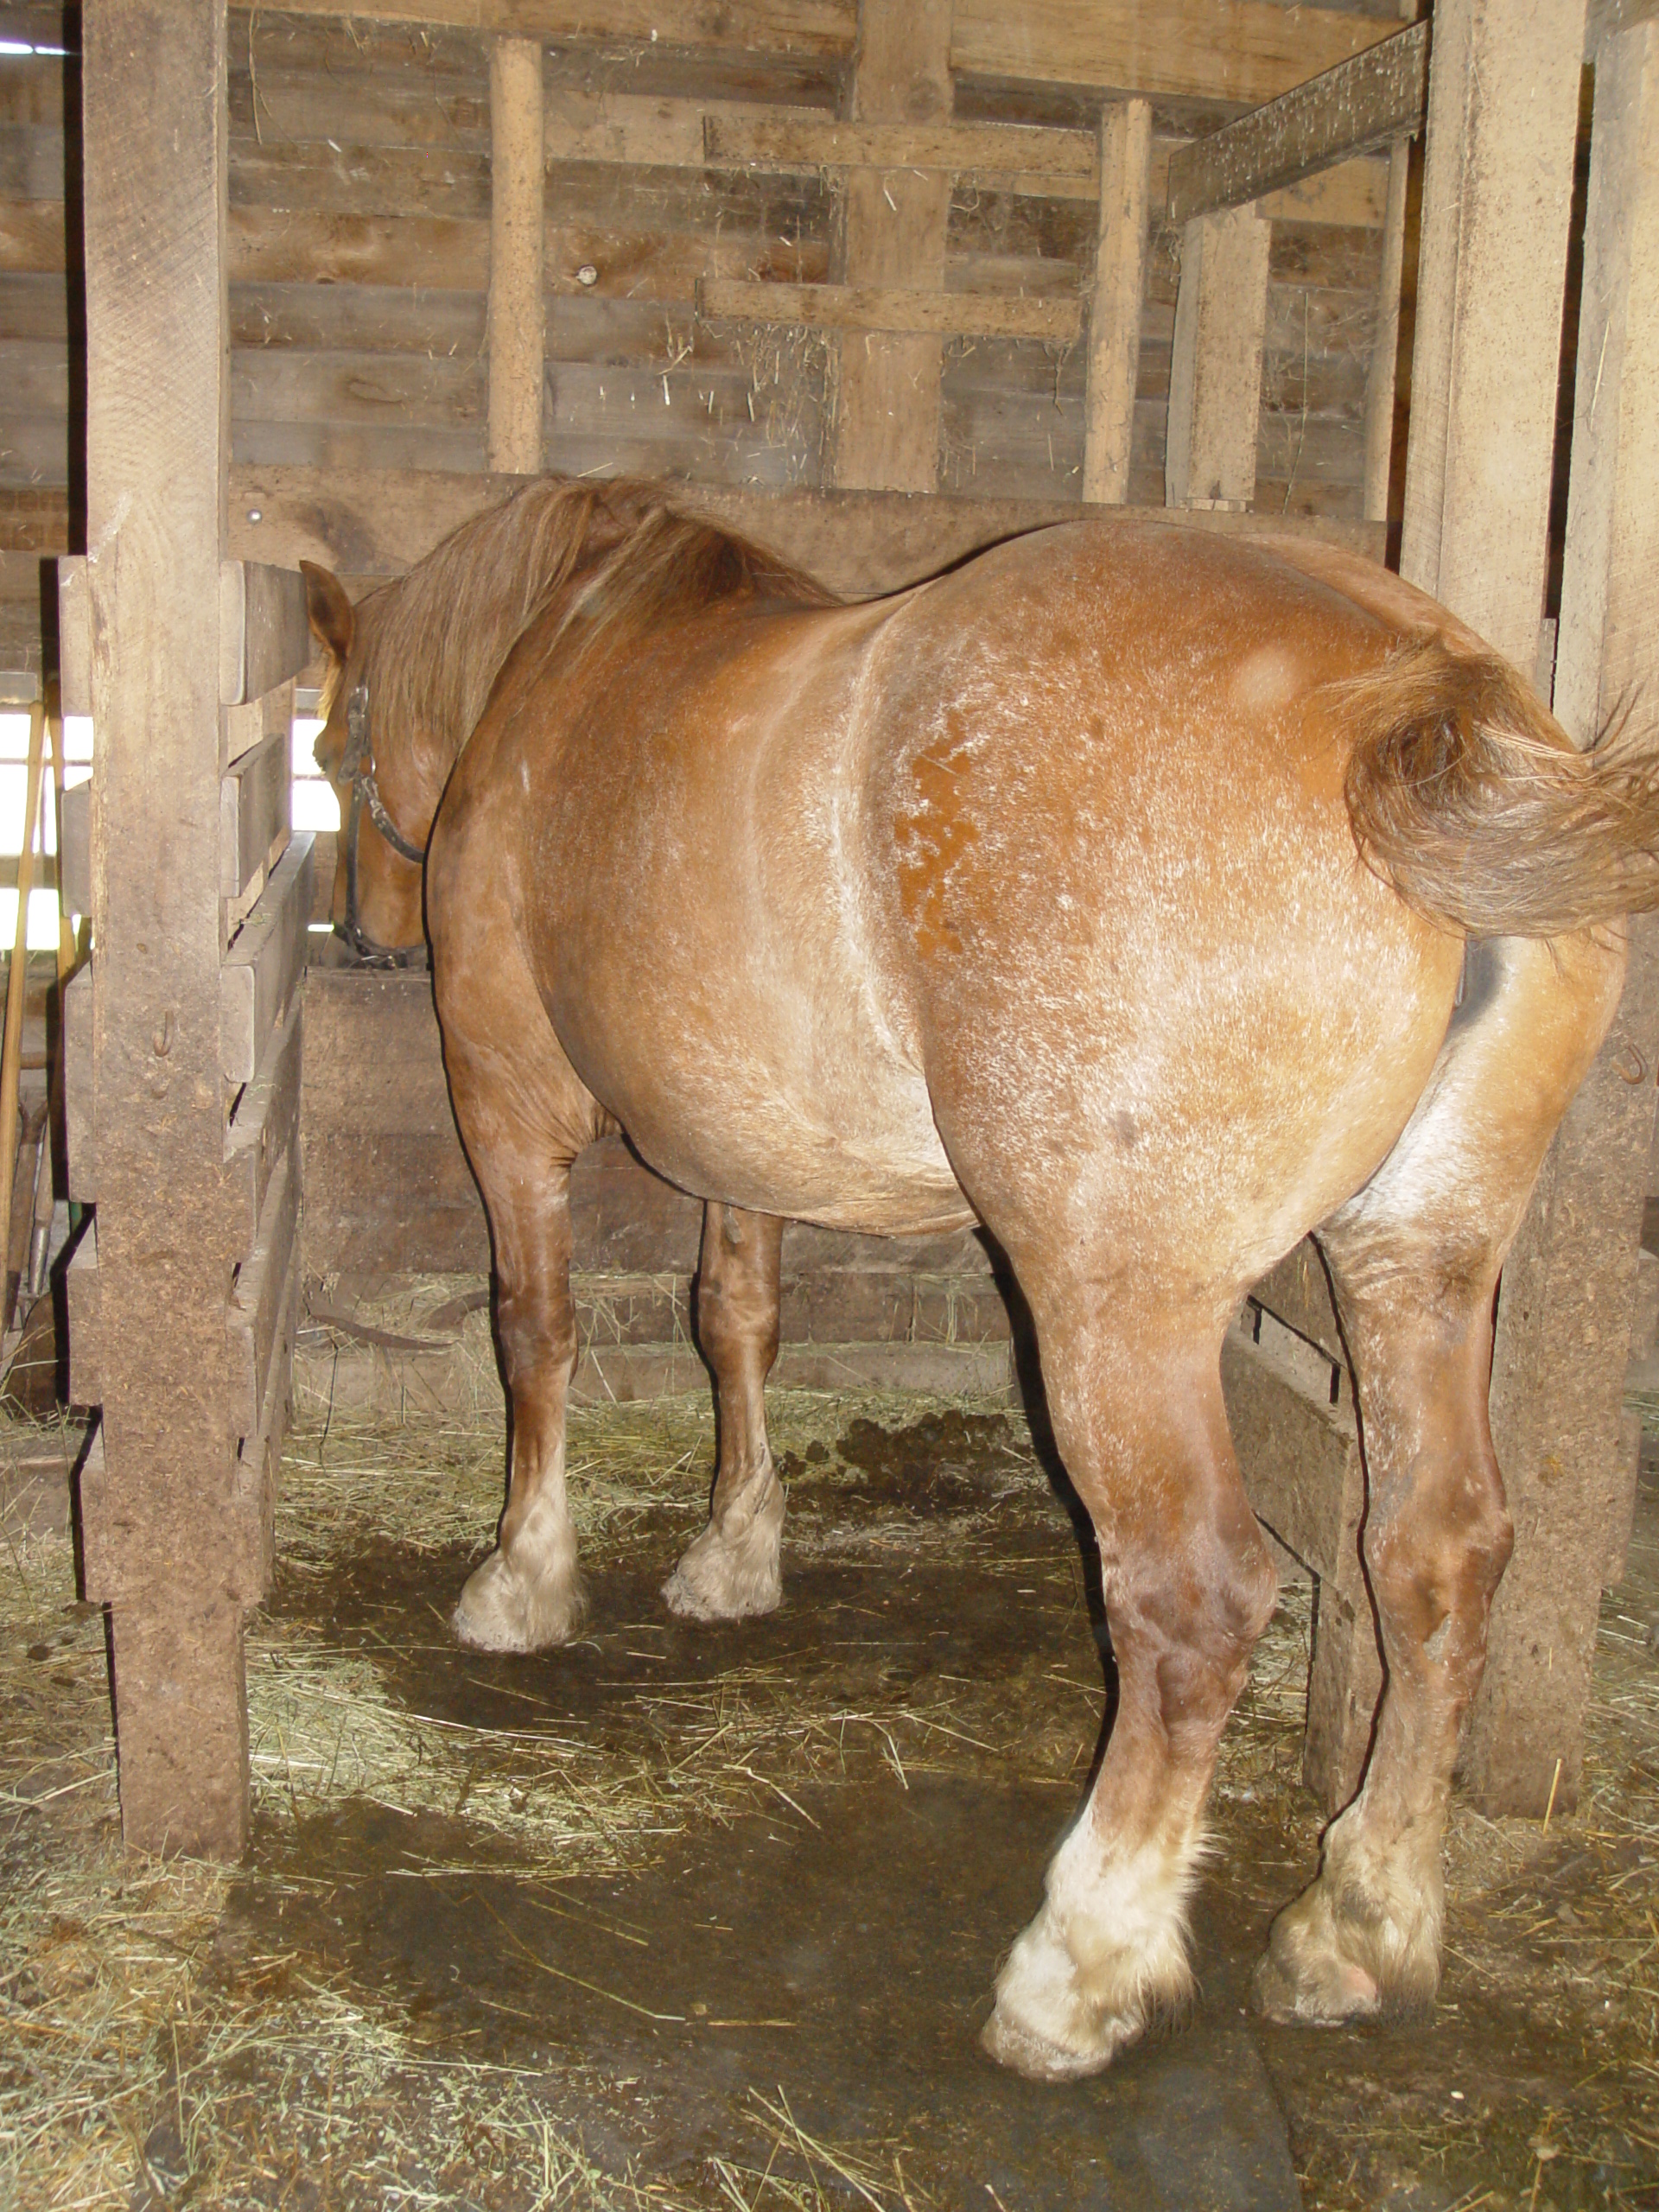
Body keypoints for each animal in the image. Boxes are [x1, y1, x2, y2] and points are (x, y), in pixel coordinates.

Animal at [302, 476, 1659, 2084]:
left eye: (329, 751)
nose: (369, 936)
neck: (572, 651)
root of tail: (1413, 683)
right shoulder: (737, 1149)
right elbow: (735, 1325)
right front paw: (733, 1554)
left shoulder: (508, 1106)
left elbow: (537, 1336)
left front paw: (522, 1578)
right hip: (1420, 1267)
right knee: (1435, 1553)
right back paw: (1362, 1925)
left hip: (1116, 1307)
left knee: (1194, 1598)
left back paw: (1080, 1966)